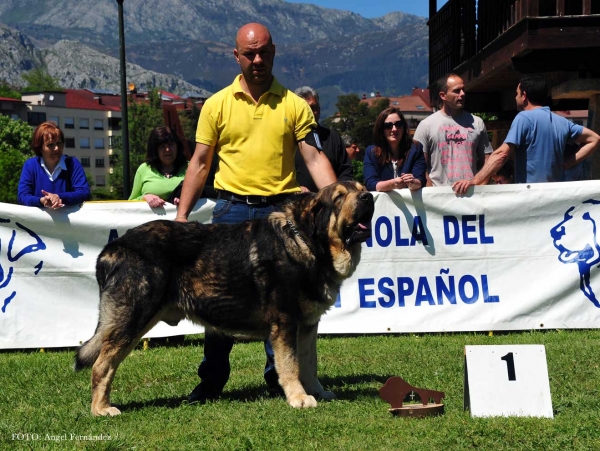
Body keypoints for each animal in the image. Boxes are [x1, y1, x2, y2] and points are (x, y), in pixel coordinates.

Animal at [75, 181, 372, 416]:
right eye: (339, 197)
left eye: (360, 188)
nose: (368, 196)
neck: (306, 242)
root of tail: (113, 247)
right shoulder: (285, 322)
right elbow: (290, 365)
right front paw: (299, 398)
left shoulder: (308, 325)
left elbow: (309, 365)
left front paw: (318, 392)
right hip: (133, 318)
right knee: (102, 365)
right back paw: (101, 409)